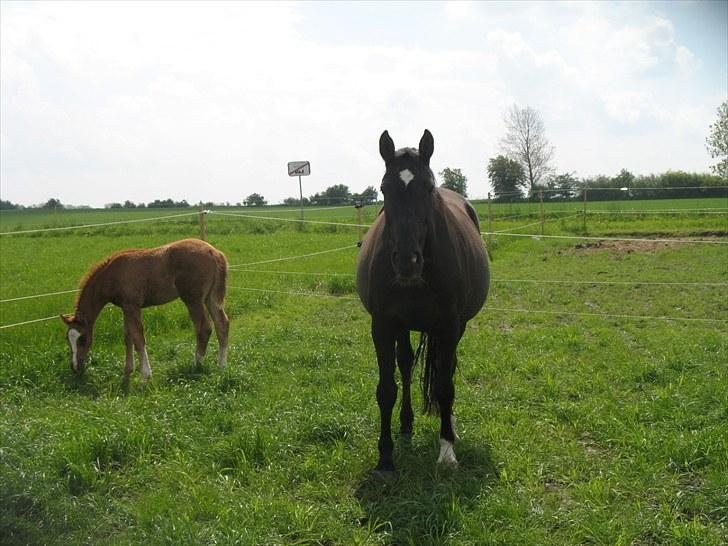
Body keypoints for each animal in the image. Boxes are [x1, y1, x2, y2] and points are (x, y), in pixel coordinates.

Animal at [61, 238, 229, 378]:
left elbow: (138, 337)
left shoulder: (132, 306)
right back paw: (221, 365)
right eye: (67, 339)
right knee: (222, 323)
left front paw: (145, 375)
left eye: (82, 339)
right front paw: (129, 369)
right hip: (210, 298)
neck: (111, 275)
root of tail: (214, 253)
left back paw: (196, 365)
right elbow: (127, 336)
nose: (75, 367)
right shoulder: (126, 307)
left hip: (193, 299)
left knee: (204, 328)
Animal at [356, 130, 490, 474]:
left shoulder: (449, 326)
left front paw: (447, 451)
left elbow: (444, 386)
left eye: (428, 187)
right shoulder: (383, 325)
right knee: (405, 365)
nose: (407, 261)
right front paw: (385, 458)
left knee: (447, 371)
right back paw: (405, 424)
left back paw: (450, 426)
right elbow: (386, 388)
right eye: (384, 188)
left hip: (455, 328)